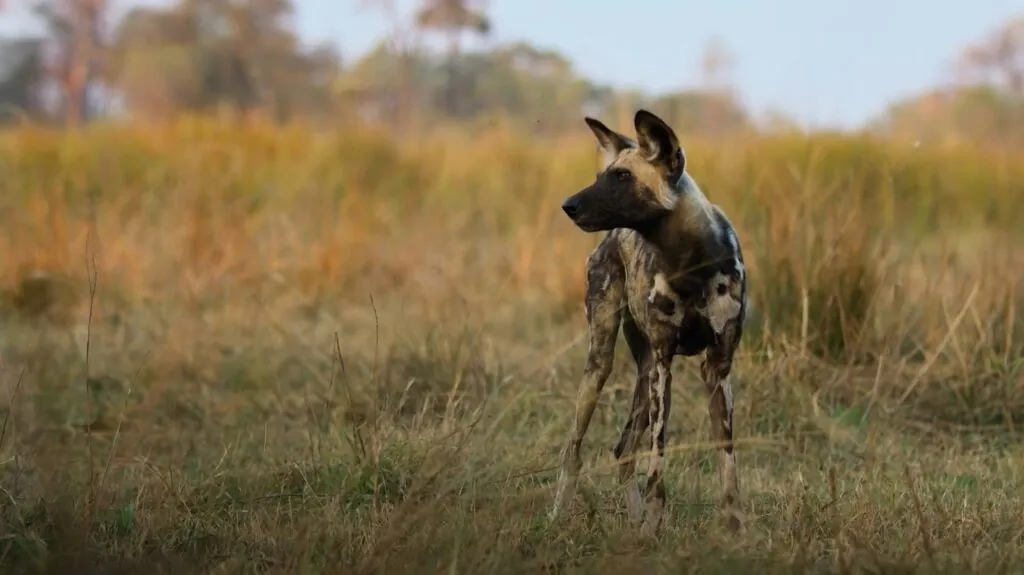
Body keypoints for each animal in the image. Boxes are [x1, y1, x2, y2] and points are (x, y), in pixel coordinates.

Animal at [548, 109, 749, 536]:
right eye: (601, 175)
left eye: (622, 176)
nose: (568, 205)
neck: (691, 264)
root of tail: (610, 238)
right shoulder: (664, 363)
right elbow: (657, 457)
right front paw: (655, 525)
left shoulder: (718, 368)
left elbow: (727, 460)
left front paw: (735, 529)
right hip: (603, 365)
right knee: (574, 448)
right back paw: (558, 517)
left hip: (642, 376)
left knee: (623, 449)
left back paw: (635, 520)